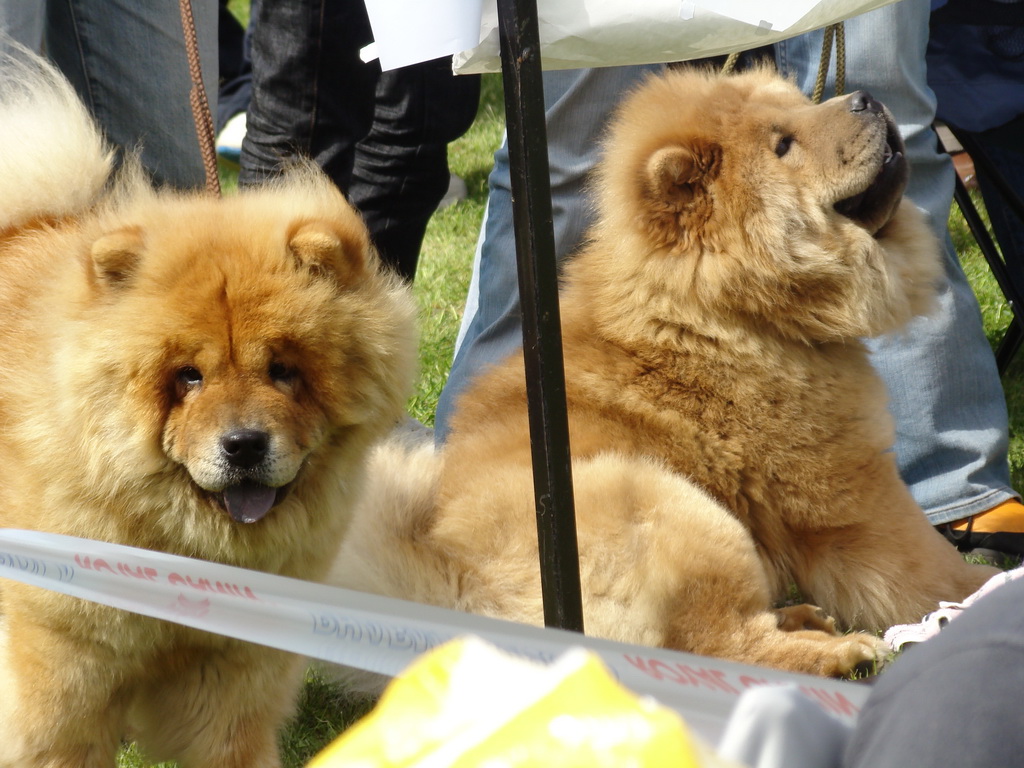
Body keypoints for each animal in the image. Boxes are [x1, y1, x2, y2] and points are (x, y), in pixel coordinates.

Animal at [335, 66, 999, 679]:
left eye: (802, 106)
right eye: (783, 145)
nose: (863, 98)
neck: (720, 306)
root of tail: (462, 595)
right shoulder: (849, 488)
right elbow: (926, 565)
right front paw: (983, 595)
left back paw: (806, 617)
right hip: (676, 509)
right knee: (720, 644)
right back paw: (842, 651)